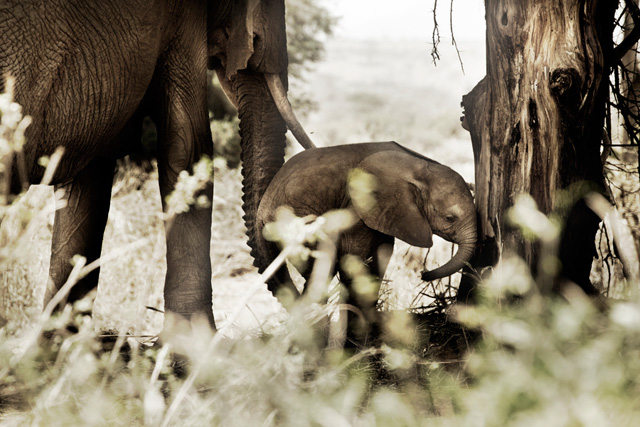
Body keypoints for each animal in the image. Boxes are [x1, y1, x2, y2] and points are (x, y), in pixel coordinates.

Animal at [255, 142, 476, 346]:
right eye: (449, 218)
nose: (424, 274)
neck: (418, 166)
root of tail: (262, 208)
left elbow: (380, 256)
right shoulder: (359, 205)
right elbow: (356, 257)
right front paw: (356, 339)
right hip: (296, 222)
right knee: (320, 272)